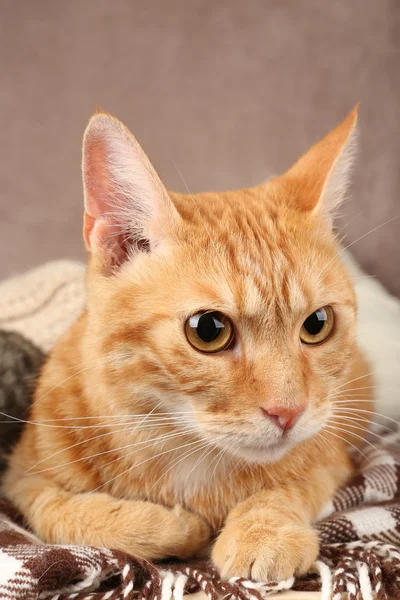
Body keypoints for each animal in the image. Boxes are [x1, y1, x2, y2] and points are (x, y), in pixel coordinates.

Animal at [2, 106, 376, 580]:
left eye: (317, 323)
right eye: (209, 330)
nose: (288, 413)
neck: (184, 451)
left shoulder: (331, 458)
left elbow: (288, 488)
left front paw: (264, 530)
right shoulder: (23, 478)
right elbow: (64, 512)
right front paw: (168, 525)